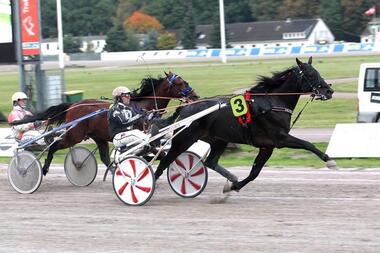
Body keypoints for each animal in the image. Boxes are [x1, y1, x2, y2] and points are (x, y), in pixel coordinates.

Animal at [13, 70, 197, 174]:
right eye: (180, 82)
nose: (195, 96)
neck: (144, 107)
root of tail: (73, 105)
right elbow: (156, 152)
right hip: (74, 135)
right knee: (53, 146)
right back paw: (43, 168)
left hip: (98, 138)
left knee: (105, 158)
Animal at [154, 57, 336, 192]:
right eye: (310, 75)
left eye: (317, 72)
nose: (329, 91)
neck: (272, 102)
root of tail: (185, 108)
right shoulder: (280, 138)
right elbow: (307, 144)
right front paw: (328, 160)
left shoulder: (267, 146)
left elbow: (255, 172)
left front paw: (234, 186)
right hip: (183, 139)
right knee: (164, 162)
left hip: (219, 140)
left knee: (210, 162)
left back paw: (231, 178)